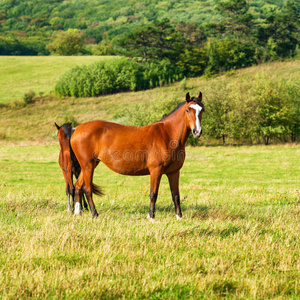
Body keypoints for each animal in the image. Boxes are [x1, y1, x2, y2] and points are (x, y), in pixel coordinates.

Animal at [71, 90, 204, 219]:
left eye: (202, 109)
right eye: (187, 110)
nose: (197, 131)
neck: (168, 135)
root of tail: (76, 129)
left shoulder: (174, 172)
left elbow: (176, 195)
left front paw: (179, 217)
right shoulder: (156, 170)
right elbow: (153, 194)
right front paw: (151, 217)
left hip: (89, 165)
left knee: (78, 186)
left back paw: (78, 213)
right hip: (88, 165)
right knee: (87, 189)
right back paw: (95, 214)